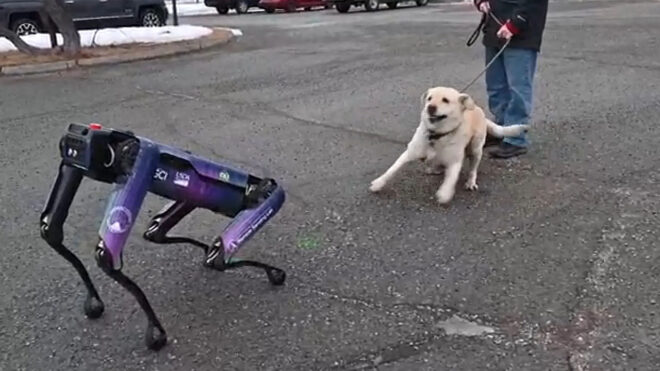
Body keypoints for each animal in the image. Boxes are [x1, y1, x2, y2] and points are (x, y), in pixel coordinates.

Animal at [368, 86, 528, 205]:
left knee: (473, 169)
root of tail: (477, 109)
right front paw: (378, 183)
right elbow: (391, 170)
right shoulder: (408, 153)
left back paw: (470, 181)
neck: (436, 135)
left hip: (476, 149)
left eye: (445, 100)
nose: (430, 107)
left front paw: (444, 193)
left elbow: (450, 180)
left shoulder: (455, 161)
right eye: (429, 98)